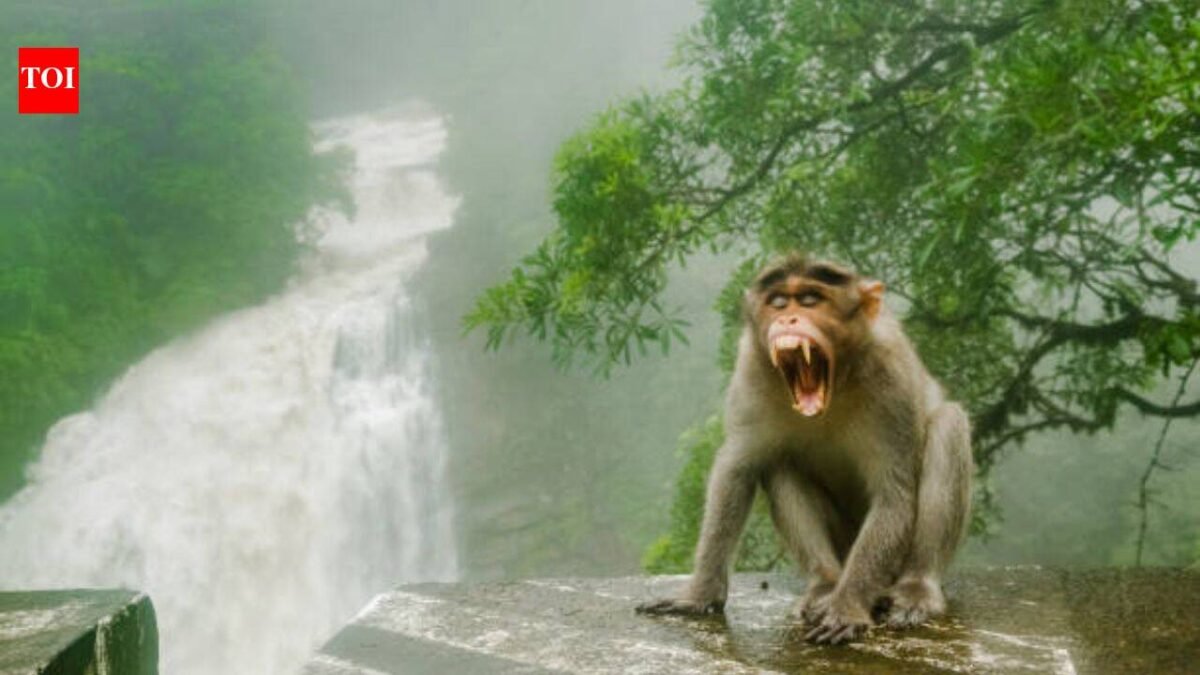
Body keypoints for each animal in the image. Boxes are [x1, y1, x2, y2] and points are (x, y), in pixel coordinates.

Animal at [637, 253, 973, 645]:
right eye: (779, 302)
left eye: (811, 300)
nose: (787, 319)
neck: (838, 381)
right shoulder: (751, 369)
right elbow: (737, 468)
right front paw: (700, 594)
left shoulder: (893, 380)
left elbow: (894, 495)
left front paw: (847, 607)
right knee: (778, 462)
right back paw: (824, 584)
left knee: (949, 425)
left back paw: (916, 588)